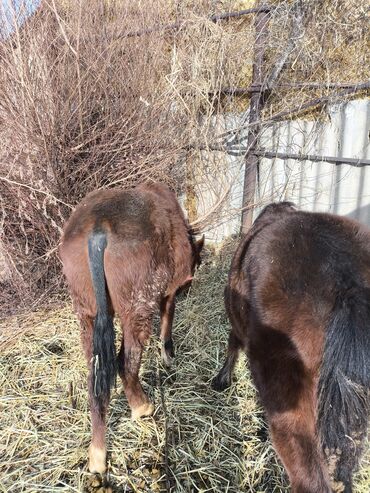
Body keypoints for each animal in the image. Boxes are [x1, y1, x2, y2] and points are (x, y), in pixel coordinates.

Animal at [59, 182, 204, 472]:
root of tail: (97, 230)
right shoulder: (168, 292)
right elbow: (167, 321)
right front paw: (168, 356)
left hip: (86, 313)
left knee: (95, 377)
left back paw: (97, 453)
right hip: (137, 307)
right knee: (126, 363)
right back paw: (141, 408)